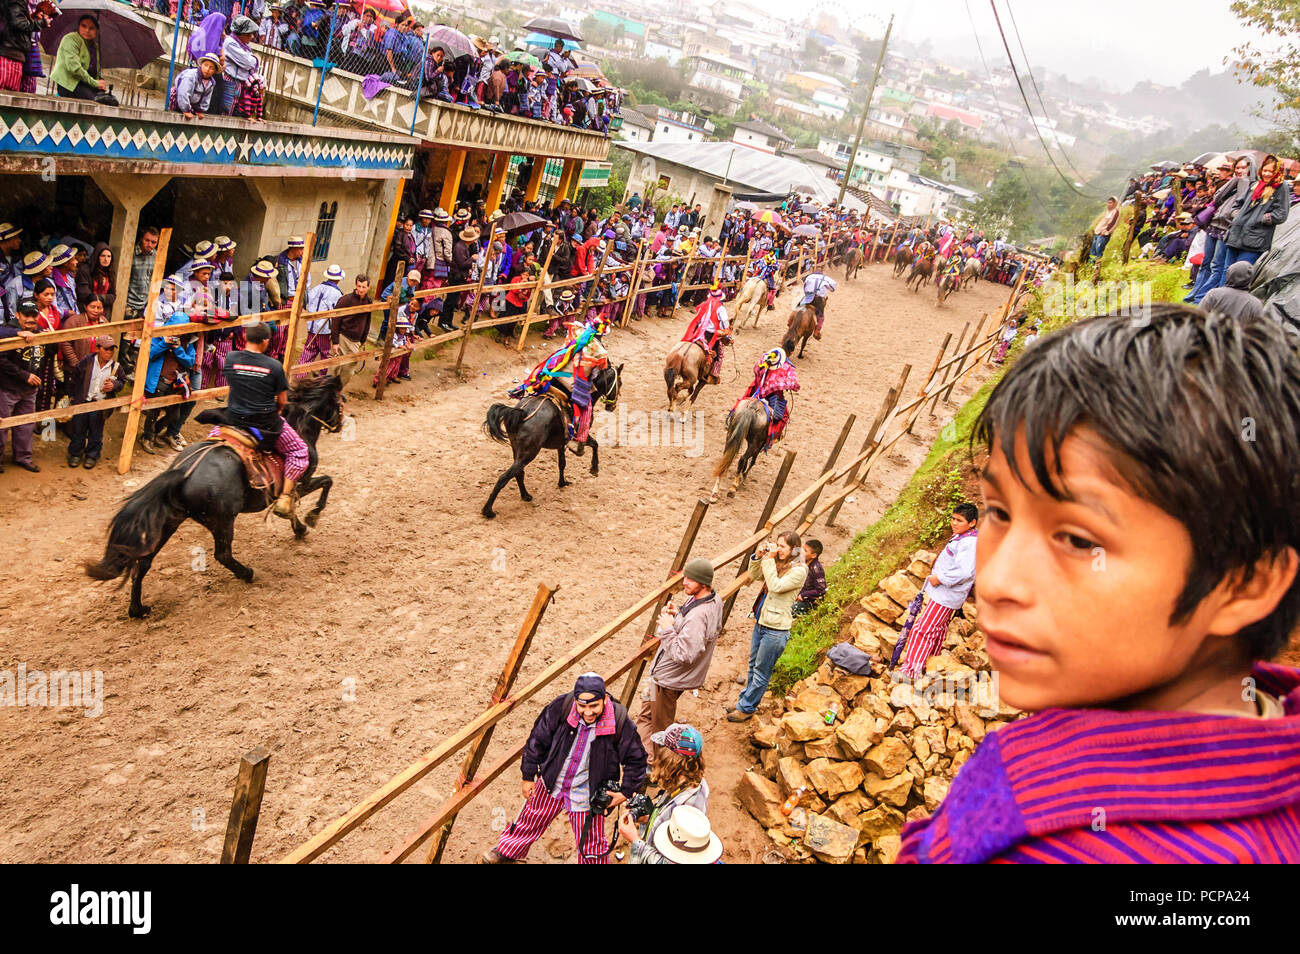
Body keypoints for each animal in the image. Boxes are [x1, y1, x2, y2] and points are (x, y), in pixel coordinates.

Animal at [85, 374, 345, 621]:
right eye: (340, 401)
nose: (341, 424)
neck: (299, 423)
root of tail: (183, 471)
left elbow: (293, 507)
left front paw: (300, 528)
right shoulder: (301, 481)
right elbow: (326, 482)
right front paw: (311, 517)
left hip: (170, 521)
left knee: (144, 562)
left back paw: (137, 609)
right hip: (222, 521)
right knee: (223, 555)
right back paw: (247, 573)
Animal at [483, 361, 624, 519]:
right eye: (620, 383)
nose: (612, 406)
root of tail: (523, 412)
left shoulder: (561, 442)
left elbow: (562, 463)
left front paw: (562, 482)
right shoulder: (581, 434)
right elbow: (595, 444)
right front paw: (594, 468)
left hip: (517, 451)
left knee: (518, 473)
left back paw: (525, 495)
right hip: (528, 453)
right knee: (504, 477)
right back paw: (488, 510)